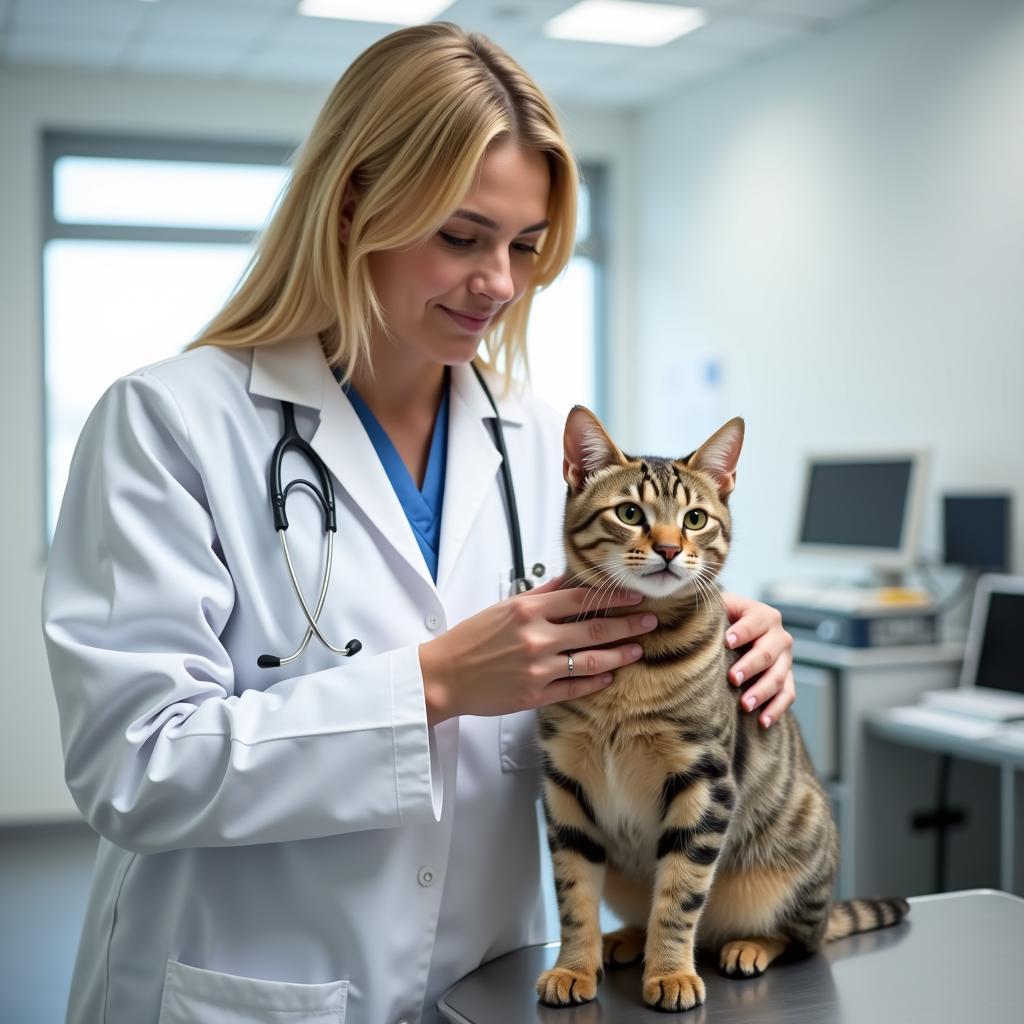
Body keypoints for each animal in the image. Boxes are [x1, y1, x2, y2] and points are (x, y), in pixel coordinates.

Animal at [532, 405, 909, 1007]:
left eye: (694, 519)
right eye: (630, 512)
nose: (667, 549)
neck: (637, 656)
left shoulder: (704, 781)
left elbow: (680, 894)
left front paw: (669, 973)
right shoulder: (565, 784)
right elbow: (573, 896)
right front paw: (573, 967)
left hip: (797, 854)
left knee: (798, 939)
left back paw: (747, 945)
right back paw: (625, 938)